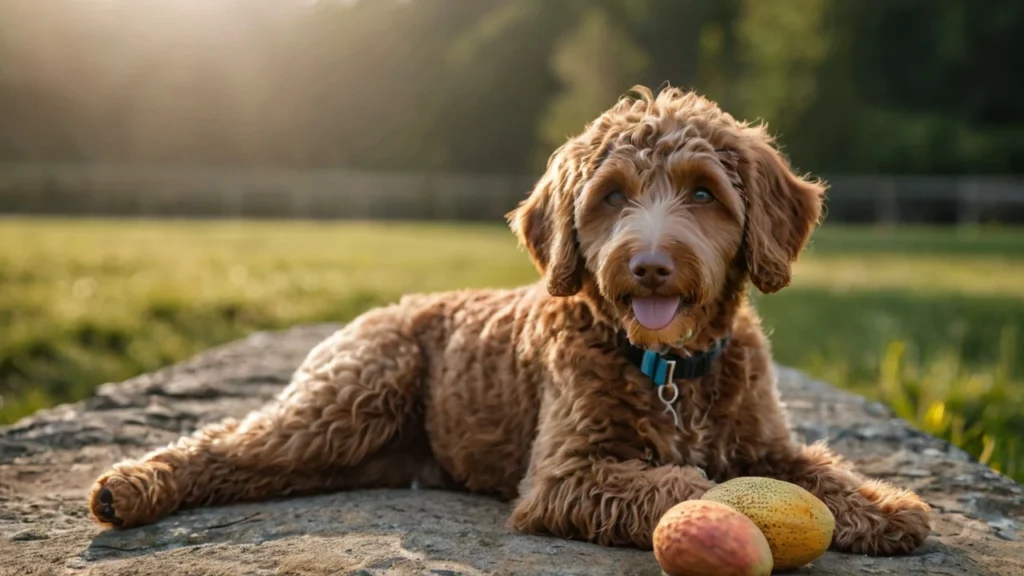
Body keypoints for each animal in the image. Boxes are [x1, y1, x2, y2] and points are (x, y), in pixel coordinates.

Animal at [90, 84, 929, 553]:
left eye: (702, 192)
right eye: (612, 196)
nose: (649, 265)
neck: (667, 367)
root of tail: (387, 306)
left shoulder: (765, 440)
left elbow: (820, 471)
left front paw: (884, 507)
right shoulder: (565, 474)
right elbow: (679, 484)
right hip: (347, 399)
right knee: (225, 441)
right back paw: (129, 486)